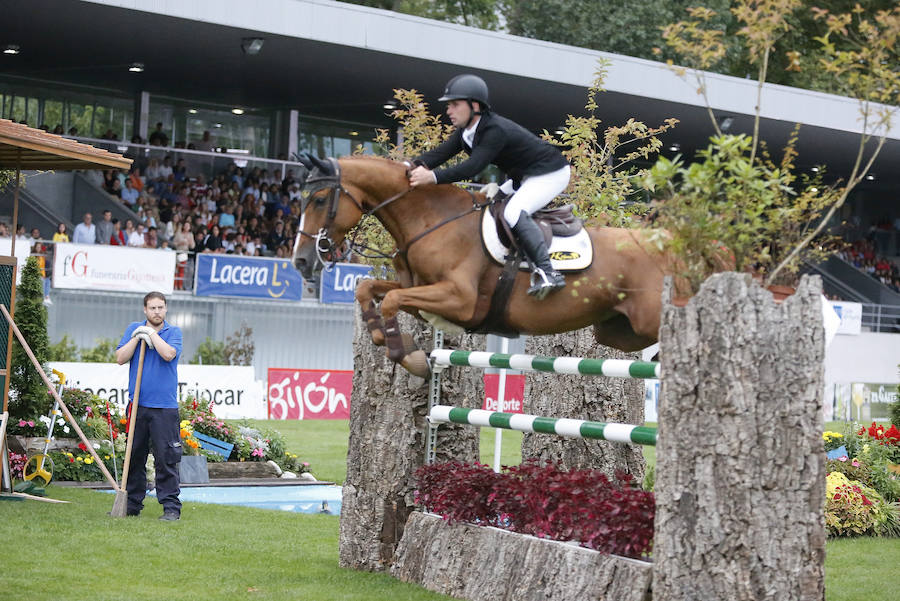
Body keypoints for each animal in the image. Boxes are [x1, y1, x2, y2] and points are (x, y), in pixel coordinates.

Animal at [292, 157, 672, 378]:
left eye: (320, 200)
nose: (301, 260)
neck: (432, 218)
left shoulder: (460, 300)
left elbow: (390, 301)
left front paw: (410, 359)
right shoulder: (419, 289)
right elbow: (369, 290)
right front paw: (389, 341)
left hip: (647, 319)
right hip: (616, 331)